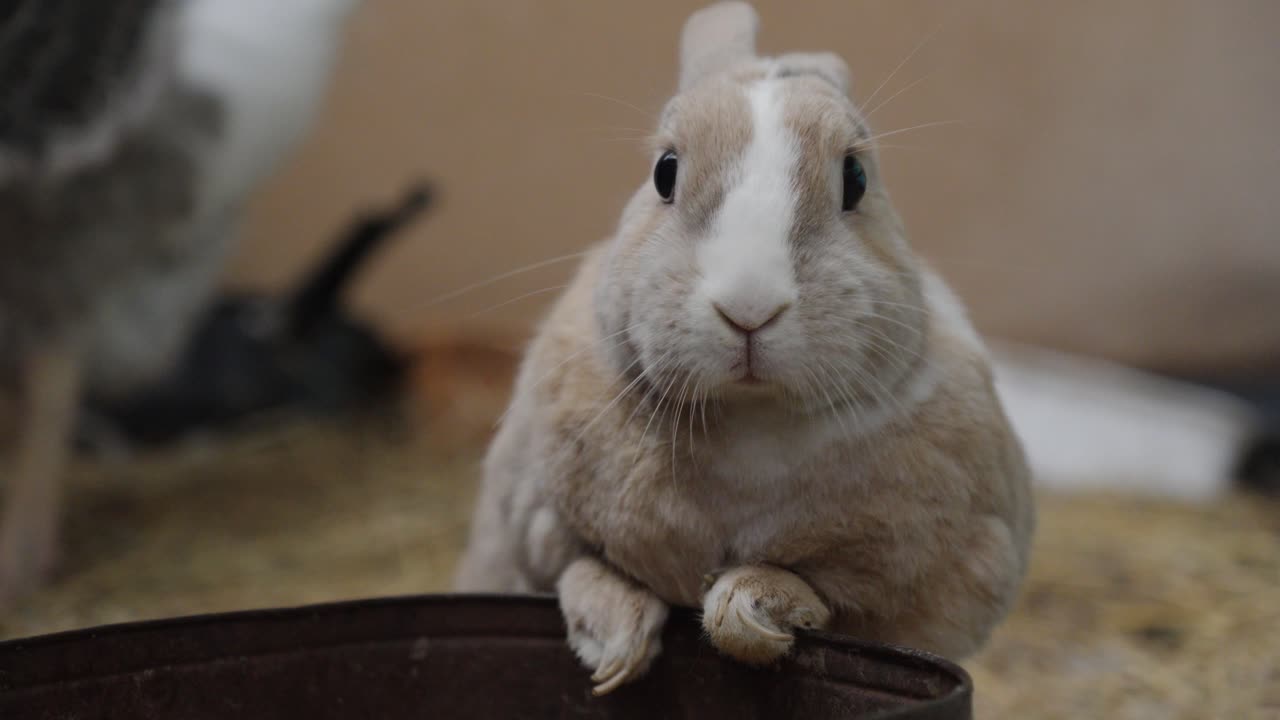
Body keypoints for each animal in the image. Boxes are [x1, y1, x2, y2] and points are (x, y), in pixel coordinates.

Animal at [454, 0, 1035, 696]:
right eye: (665, 171)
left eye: (856, 178)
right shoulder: (534, 521)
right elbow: (581, 569)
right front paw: (615, 645)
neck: (750, 420)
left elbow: (824, 595)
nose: (749, 307)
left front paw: (751, 609)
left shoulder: (929, 579)